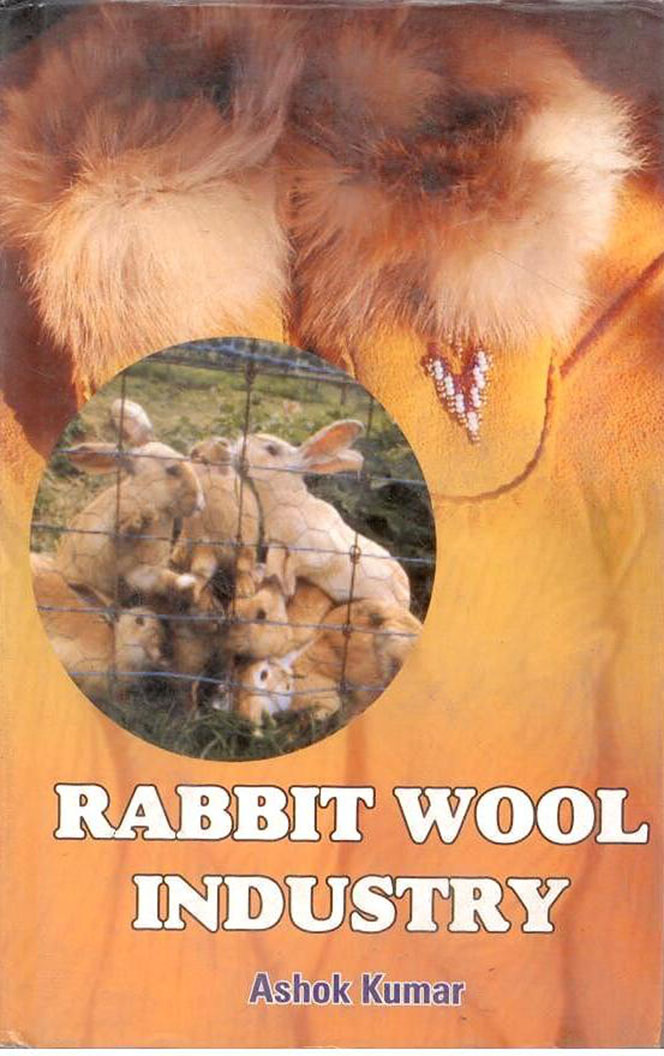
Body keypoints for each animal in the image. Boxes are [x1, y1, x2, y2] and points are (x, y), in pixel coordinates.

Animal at [171, 435, 261, 609]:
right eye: (194, 453)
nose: (224, 442)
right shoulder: (203, 546)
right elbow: (202, 572)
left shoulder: (245, 539)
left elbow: (243, 566)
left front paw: (245, 591)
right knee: (201, 576)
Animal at [236, 420, 411, 607]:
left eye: (271, 449)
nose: (241, 442)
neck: (289, 502)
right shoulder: (278, 544)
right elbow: (275, 562)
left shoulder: (318, 554)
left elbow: (294, 564)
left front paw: (288, 588)